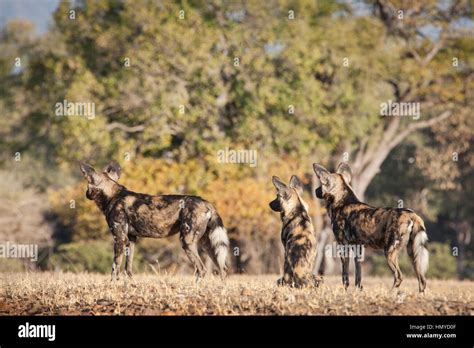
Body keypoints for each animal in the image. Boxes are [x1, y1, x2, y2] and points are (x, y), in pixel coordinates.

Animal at [78, 160, 230, 280]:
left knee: (201, 270)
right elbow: (128, 270)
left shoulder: (119, 238)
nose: (86, 194)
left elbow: (115, 269)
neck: (112, 195)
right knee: (223, 270)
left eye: (87, 185)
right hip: (207, 244)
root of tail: (206, 203)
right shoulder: (131, 239)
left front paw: (112, 288)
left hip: (187, 241)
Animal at [312, 162, 428, 292]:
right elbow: (358, 276)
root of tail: (412, 214)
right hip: (413, 253)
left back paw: (390, 293)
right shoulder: (357, 248)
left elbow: (345, 277)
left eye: (321, 184)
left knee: (399, 276)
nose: (315, 190)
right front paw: (358, 291)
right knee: (422, 280)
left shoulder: (343, 246)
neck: (342, 202)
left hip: (389, 252)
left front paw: (345, 292)